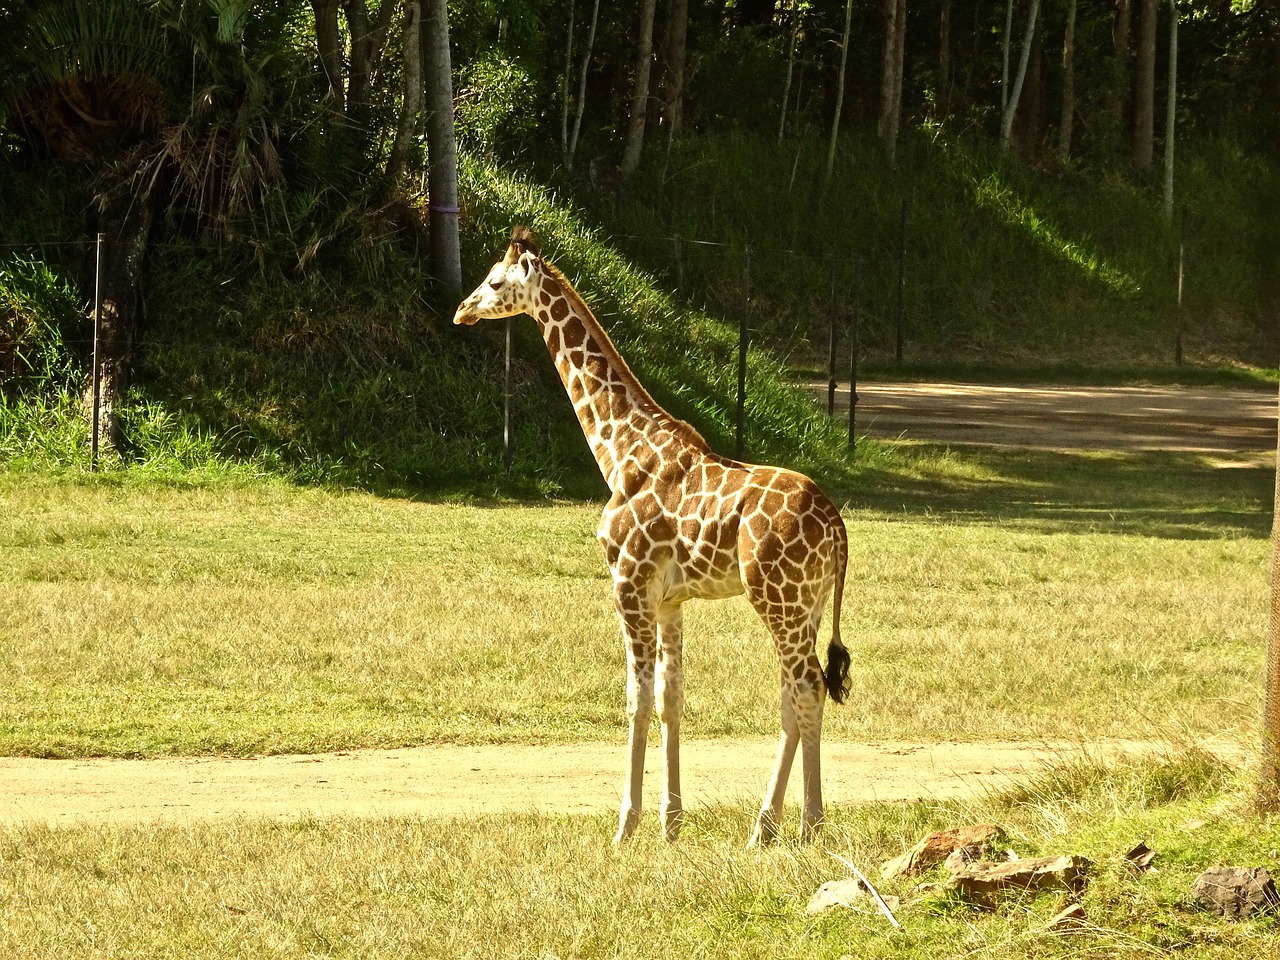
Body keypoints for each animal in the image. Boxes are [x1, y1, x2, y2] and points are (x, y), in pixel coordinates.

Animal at [453, 229, 849, 844]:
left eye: (495, 282)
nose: (461, 310)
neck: (618, 450)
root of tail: (836, 524)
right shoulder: (669, 600)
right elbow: (671, 699)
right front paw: (670, 825)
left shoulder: (628, 584)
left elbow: (635, 700)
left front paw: (626, 826)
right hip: (806, 604)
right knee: (794, 694)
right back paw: (765, 829)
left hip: (778, 598)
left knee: (806, 688)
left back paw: (808, 826)